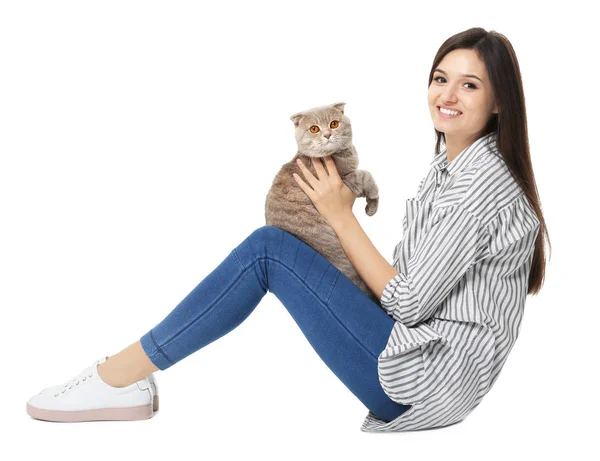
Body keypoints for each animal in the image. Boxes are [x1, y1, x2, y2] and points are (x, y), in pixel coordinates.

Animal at [266, 102, 382, 304]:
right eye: (314, 129)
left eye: (334, 124)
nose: (327, 134)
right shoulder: (346, 181)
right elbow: (366, 175)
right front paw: (372, 204)